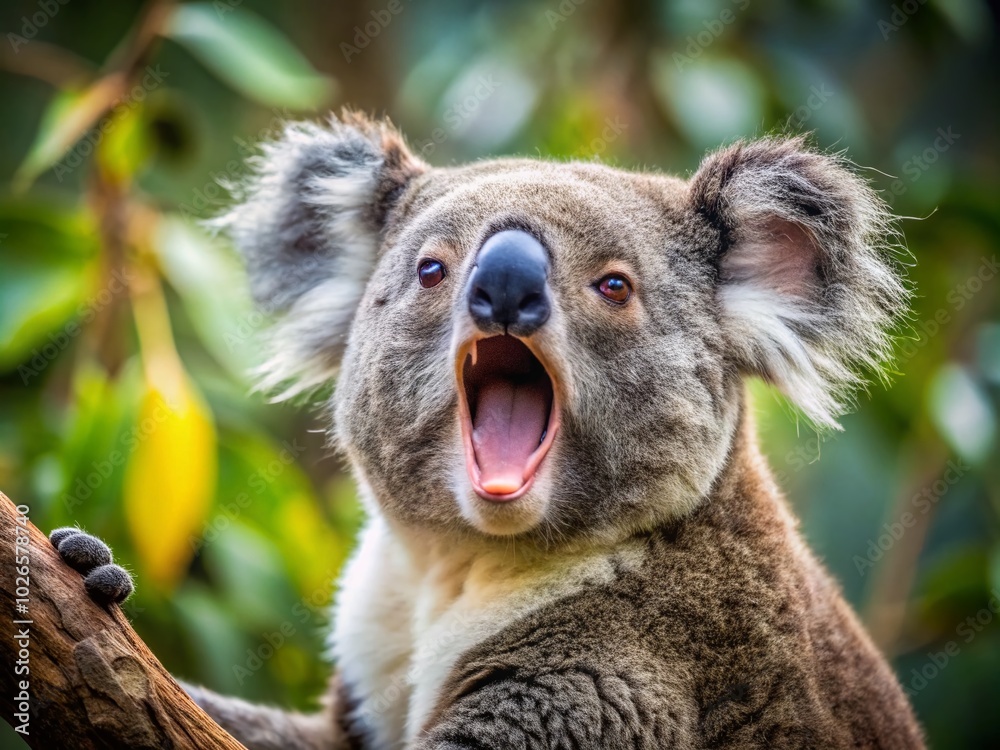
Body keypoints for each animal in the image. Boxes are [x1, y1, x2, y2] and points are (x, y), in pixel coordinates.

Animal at [52, 111, 924, 749]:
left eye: (614, 285)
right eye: (431, 270)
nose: (506, 287)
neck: (464, 562)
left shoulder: (627, 671)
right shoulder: (367, 669)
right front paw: (91, 566)